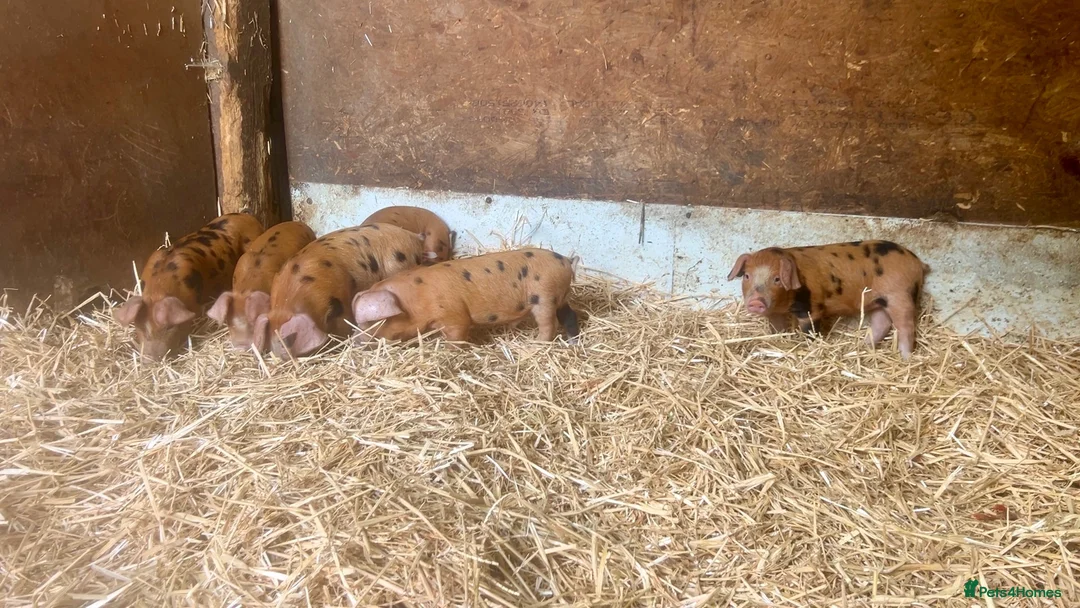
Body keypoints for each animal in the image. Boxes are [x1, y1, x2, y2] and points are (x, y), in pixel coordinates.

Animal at [351, 247, 580, 345]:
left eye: (373, 322)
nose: (356, 341)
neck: (416, 301)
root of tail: (566, 261)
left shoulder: (454, 316)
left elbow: (457, 334)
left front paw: (448, 349)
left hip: (545, 296)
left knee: (548, 325)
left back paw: (535, 345)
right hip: (561, 297)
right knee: (570, 316)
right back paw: (573, 342)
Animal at [727, 240, 929, 359]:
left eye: (777, 279)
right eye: (747, 276)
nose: (756, 301)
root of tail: (917, 262)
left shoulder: (811, 309)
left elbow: (810, 330)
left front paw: (809, 346)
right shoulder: (775, 312)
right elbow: (777, 328)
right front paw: (780, 340)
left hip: (900, 295)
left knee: (906, 326)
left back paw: (906, 358)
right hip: (879, 302)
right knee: (882, 323)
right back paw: (863, 347)